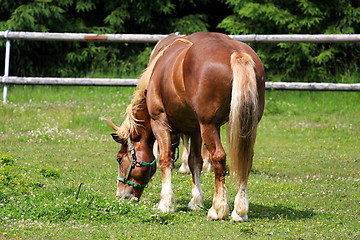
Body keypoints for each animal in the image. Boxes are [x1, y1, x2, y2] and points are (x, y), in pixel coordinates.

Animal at [108, 31, 266, 221]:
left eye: (119, 159)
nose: (121, 194)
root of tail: (236, 52)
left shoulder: (160, 122)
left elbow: (165, 160)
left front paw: (165, 203)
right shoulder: (195, 129)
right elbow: (195, 161)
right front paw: (196, 201)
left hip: (209, 126)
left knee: (219, 157)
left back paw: (217, 209)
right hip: (243, 128)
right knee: (246, 159)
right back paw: (240, 211)